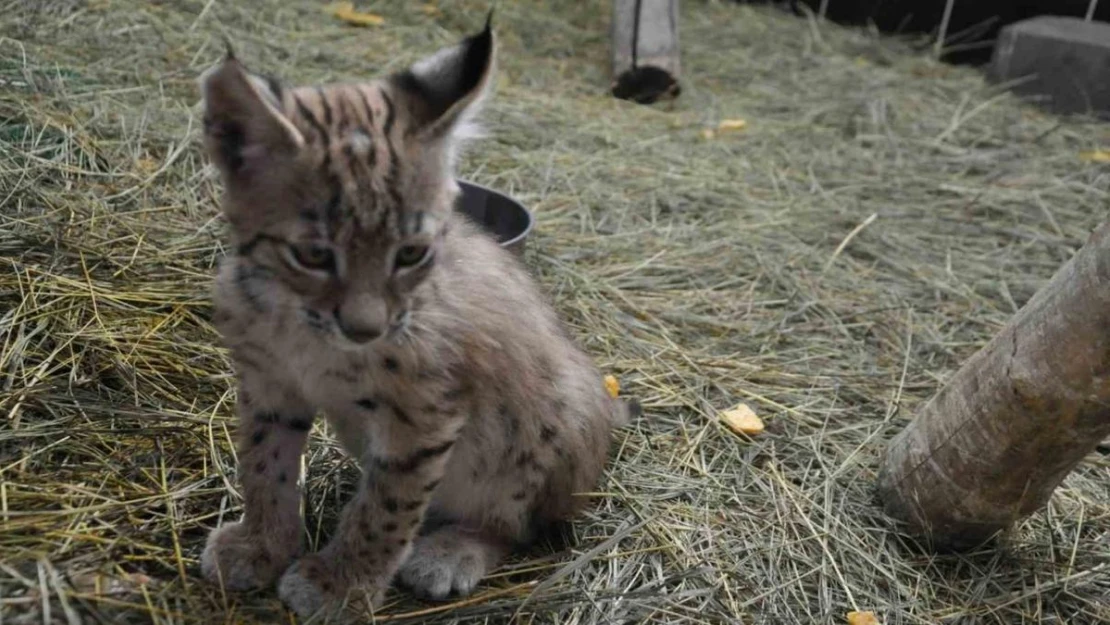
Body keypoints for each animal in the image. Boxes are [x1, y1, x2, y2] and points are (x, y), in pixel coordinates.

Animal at [196, 20, 639, 621]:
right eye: (312, 255)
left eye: (410, 253)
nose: (365, 329)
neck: (302, 325)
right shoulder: (268, 384)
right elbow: (265, 467)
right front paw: (261, 545)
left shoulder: (424, 417)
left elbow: (386, 509)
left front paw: (339, 585)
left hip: (553, 417)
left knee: (521, 527)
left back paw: (453, 552)